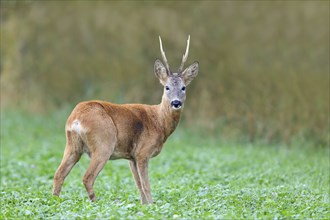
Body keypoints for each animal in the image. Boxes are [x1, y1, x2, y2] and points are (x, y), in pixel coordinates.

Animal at [52, 35, 199, 204]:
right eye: (166, 87)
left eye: (183, 87)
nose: (176, 103)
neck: (159, 122)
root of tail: (76, 118)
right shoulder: (142, 152)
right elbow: (146, 186)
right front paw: (152, 205)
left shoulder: (131, 157)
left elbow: (138, 185)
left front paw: (143, 205)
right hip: (103, 144)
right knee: (87, 177)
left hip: (72, 145)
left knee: (58, 174)